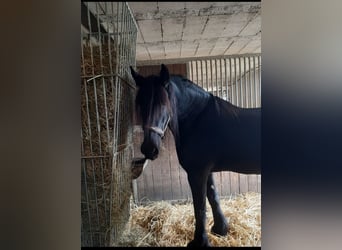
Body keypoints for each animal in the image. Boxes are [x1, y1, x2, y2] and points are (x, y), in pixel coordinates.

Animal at [130, 64, 260, 246]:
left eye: (164, 104)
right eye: (141, 105)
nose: (149, 148)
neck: (197, 121)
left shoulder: (197, 172)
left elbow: (200, 206)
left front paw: (200, 241)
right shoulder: (207, 171)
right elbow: (213, 196)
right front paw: (220, 229)